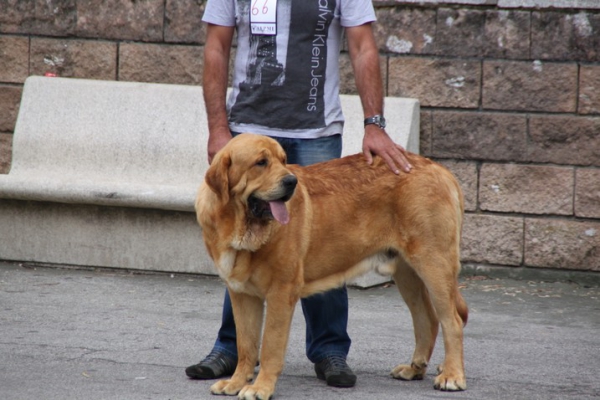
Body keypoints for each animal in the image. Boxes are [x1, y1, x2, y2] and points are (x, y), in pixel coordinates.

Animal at [197, 134, 468, 400]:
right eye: (261, 163)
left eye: (283, 160)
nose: (291, 181)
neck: (239, 225)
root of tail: (438, 168)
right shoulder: (242, 294)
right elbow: (246, 345)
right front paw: (235, 382)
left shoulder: (281, 293)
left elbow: (270, 347)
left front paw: (260, 388)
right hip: (408, 274)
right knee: (427, 318)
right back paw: (415, 369)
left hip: (434, 265)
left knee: (452, 321)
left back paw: (452, 376)